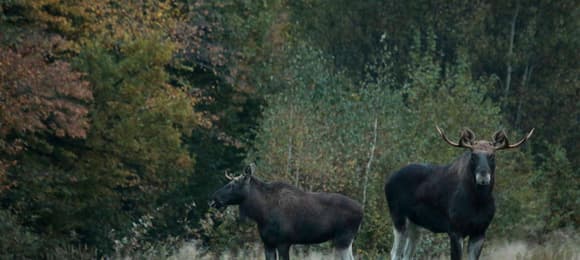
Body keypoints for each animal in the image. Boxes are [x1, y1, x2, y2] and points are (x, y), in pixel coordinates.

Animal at [208, 165, 362, 260]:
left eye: (233, 184)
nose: (214, 199)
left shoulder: (284, 242)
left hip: (343, 239)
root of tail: (362, 211)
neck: (261, 213)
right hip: (345, 241)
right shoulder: (268, 243)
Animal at [386, 126, 536, 260]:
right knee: (395, 253)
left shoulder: (480, 232)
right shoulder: (455, 230)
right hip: (399, 218)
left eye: (492, 155)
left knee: (407, 254)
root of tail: (388, 181)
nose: (483, 176)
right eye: (473, 155)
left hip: (415, 225)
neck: (478, 202)